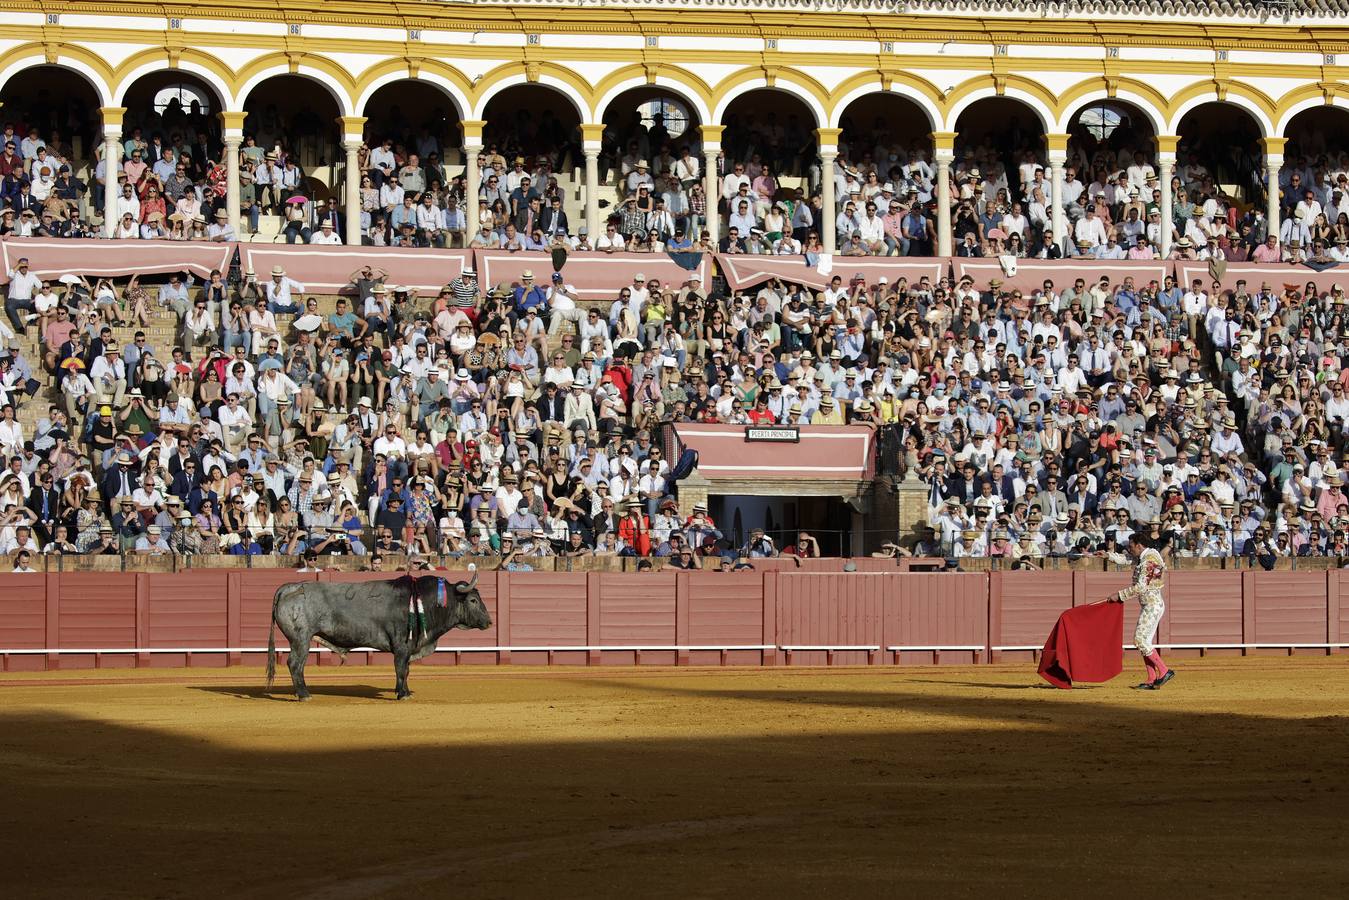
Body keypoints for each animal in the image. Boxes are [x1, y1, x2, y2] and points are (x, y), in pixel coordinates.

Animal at [265, 574, 493, 701]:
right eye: (473, 600)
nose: (490, 622)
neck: (425, 602)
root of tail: (290, 587)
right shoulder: (401, 647)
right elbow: (401, 669)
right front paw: (402, 694)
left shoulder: (408, 648)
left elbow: (406, 670)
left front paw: (405, 692)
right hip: (301, 639)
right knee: (295, 664)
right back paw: (304, 695)